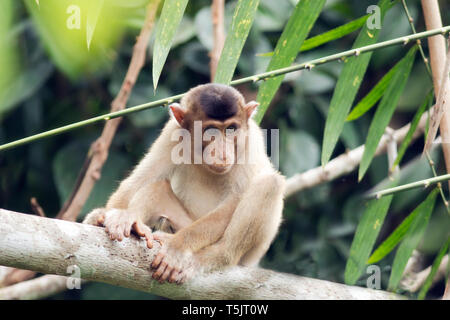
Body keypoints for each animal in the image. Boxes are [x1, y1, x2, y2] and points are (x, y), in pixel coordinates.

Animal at [85, 84, 284, 284]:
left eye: (231, 129)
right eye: (210, 131)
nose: (222, 153)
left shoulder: (250, 141)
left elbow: (234, 201)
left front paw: (177, 248)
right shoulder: (173, 131)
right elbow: (143, 178)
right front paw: (107, 216)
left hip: (249, 254)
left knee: (270, 183)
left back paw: (214, 256)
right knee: (156, 187)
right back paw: (135, 224)